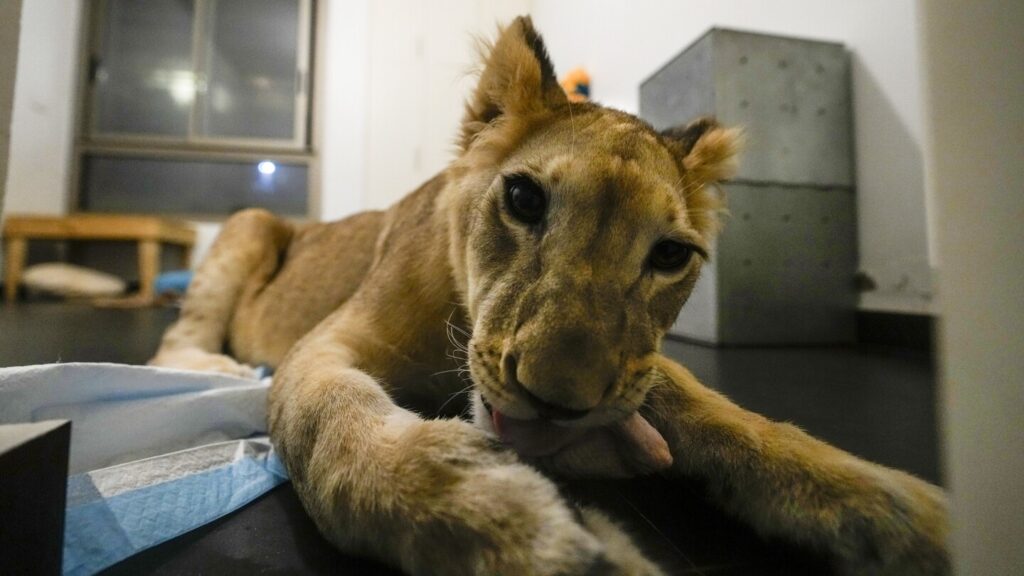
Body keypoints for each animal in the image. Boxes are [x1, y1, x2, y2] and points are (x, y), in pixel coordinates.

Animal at [150, 16, 949, 575]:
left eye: (670, 255)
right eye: (524, 200)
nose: (561, 403)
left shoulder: (635, 366)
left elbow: (726, 414)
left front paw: (903, 511)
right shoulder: (325, 344)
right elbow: (333, 425)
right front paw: (505, 519)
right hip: (250, 224)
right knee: (173, 340)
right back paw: (217, 369)